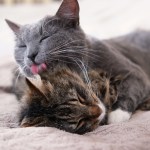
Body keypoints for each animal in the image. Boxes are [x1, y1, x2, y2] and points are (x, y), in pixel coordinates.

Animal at [5, 0, 150, 124]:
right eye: (22, 46)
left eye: (45, 37)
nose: (30, 55)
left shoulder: (135, 73)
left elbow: (132, 88)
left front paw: (117, 115)